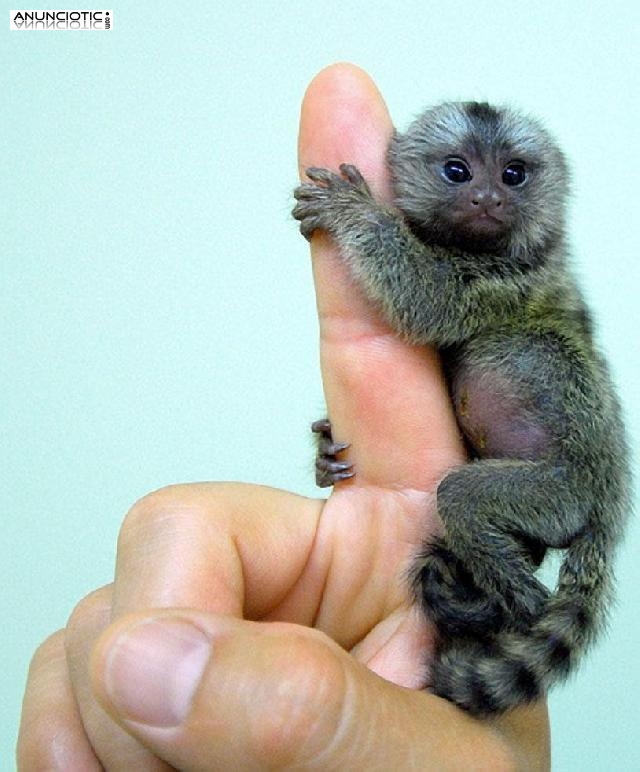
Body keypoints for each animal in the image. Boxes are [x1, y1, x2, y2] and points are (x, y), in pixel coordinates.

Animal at [292, 101, 630, 715]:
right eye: (458, 171)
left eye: (513, 175)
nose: (488, 198)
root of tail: (610, 511)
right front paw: (324, 450)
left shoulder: (508, 279)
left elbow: (427, 298)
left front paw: (355, 212)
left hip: (563, 495)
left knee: (464, 498)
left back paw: (511, 601)